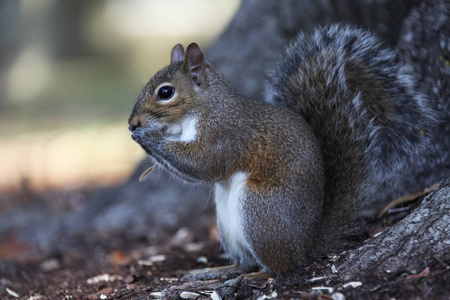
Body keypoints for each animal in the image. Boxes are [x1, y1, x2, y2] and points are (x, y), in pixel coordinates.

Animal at [127, 24, 436, 278]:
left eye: (165, 92)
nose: (132, 123)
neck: (202, 110)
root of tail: (307, 244)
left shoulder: (225, 134)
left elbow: (204, 165)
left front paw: (147, 136)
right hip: (227, 223)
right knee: (246, 261)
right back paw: (215, 272)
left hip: (260, 209)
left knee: (279, 267)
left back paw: (254, 276)